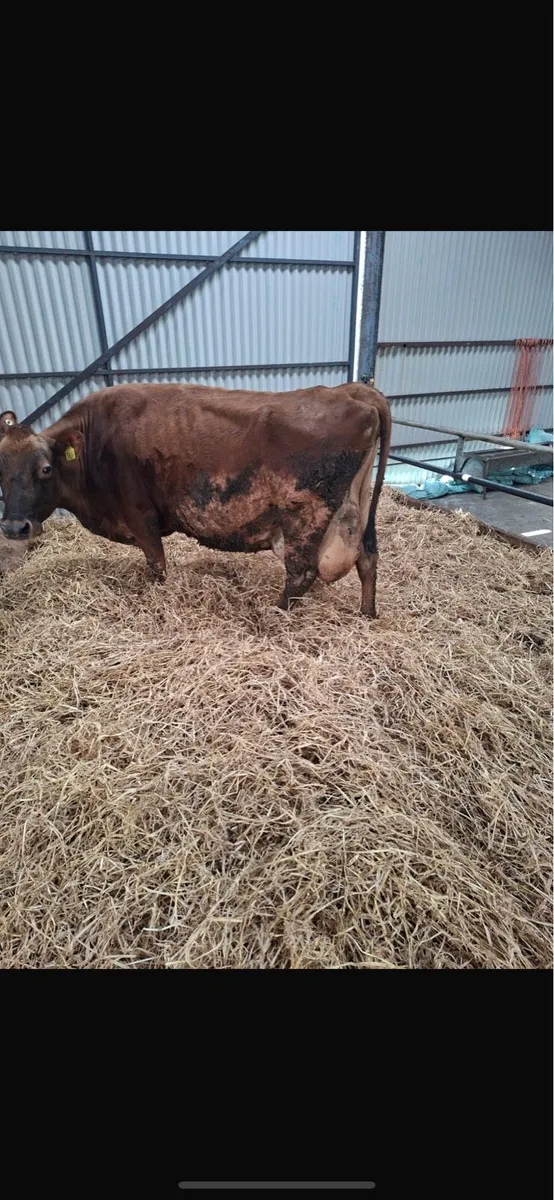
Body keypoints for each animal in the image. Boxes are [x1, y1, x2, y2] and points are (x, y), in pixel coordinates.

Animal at [0, 381, 391, 616]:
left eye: (45, 469)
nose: (14, 527)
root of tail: (352, 390)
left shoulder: (140, 515)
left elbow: (157, 566)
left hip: (304, 514)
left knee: (301, 572)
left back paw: (274, 615)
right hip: (357, 506)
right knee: (367, 558)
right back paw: (367, 615)